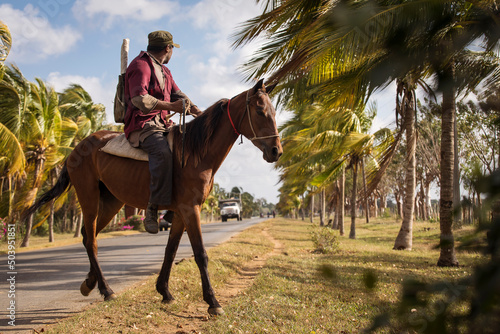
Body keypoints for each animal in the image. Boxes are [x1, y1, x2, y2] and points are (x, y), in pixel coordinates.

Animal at [27, 79, 284, 316]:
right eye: (260, 112)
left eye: (273, 112)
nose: (276, 151)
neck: (196, 153)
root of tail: (76, 148)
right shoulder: (190, 209)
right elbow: (200, 254)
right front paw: (213, 302)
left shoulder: (180, 213)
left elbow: (171, 251)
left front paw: (164, 291)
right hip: (88, 197)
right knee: (91, 240)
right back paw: (107, 290)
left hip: (110, 202)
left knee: (87, 236)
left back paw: (90, 283)